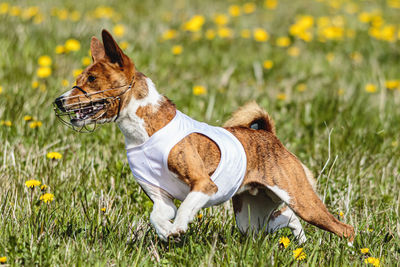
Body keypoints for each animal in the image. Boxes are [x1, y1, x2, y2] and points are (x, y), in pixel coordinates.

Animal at [52, 30, 354, 244]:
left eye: (91, 80)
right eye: (78, 79)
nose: (58, 101)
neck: (144, 132)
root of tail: (269, 135)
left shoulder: (204, 185)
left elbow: (186, 207)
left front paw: (178, 229)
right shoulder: (160, 198)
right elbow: (156, 217)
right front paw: (166, 232)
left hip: (301, 199)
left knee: (344, 228)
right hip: (252, 217)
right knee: (284, 219)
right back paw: (299, 240)